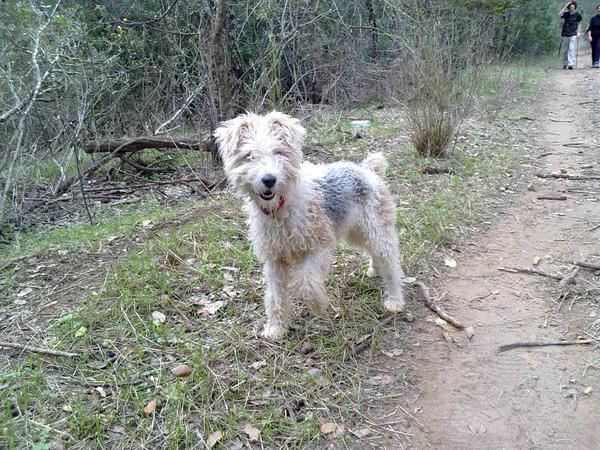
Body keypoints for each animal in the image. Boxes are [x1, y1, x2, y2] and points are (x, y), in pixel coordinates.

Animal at [213, 111, 406, 338]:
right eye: (249, 155)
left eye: (279, 152)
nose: (269, 180)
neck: (281, 208)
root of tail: (368, 170)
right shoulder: (274, 259)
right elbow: (274, 296)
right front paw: (275, 328)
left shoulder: (319, 246)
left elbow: (306, 282)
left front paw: (317, 305)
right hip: (356, 231)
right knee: (373, 253)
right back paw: (374, 269)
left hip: (377, 230)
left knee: (391, 265)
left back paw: (394, 300)